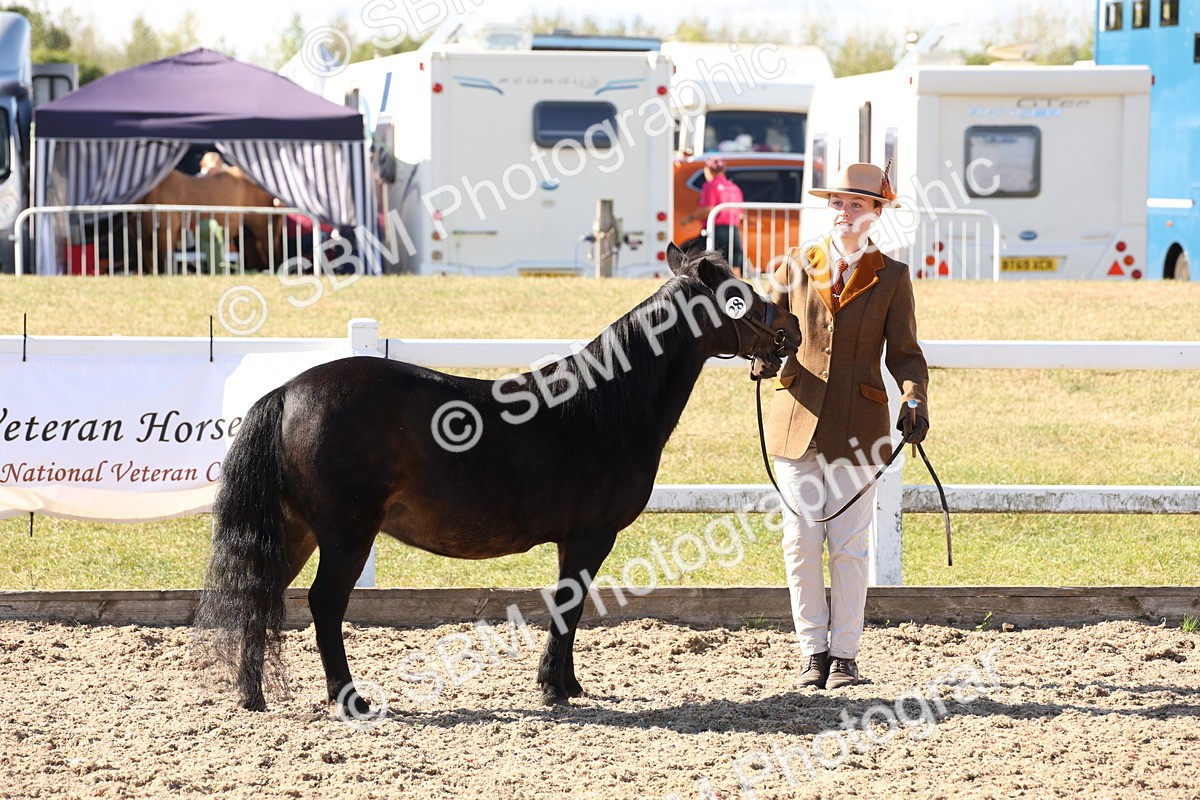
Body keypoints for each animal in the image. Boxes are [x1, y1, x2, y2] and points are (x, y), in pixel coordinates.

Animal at [137, 167, 283, 272]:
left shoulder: (164, 233)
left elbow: (163, 261)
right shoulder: (144, 239)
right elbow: (152, 265)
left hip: (265, 228)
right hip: (249, 235)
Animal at [197, 243, 802, 714]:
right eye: (739, 295)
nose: (792, 327)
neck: (608, 404)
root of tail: (288, 390)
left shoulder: (574, 540)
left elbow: (568, 605)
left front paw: (565, 684)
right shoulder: (591, 535)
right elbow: (569, 604)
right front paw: (554, 687)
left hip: (297, 528)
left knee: (259, 592)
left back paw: (251, 694)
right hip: (346, 533)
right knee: (324, 604)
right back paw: (350, 699)